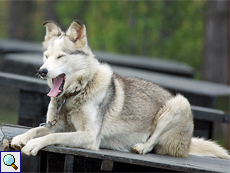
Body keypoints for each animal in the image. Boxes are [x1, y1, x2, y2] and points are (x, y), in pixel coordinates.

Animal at [11, 20, 230, 159]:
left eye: (61, 56)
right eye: (46, 56)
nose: (42, 71)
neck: (75, 94)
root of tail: (188, 142)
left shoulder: (89, 136)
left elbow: (51, 136)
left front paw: (33, 145)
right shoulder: (54, 125)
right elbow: (36, 129)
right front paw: (20, 138)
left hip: (180, 103)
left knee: (153, 141)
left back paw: (142, 147)